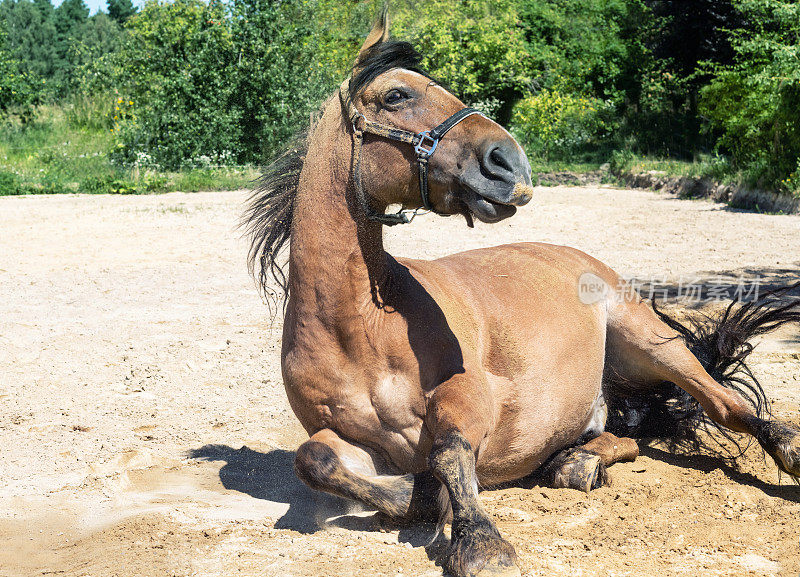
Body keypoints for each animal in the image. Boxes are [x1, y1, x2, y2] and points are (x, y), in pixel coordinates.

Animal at [245, 12, 800, 576]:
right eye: (396, 95)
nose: (510, 162)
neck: (357, 326)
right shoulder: (348, 439)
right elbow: (314, 459)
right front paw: (417, 496)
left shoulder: (471, 394)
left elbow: (446, 453)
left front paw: (479, 540)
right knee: (623, 439)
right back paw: (577, 460)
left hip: (653, 345)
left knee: (725, 406)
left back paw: (785, 450)